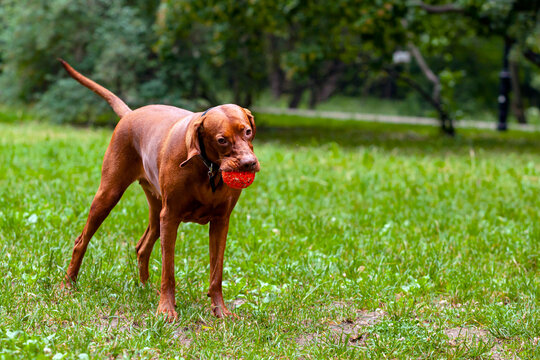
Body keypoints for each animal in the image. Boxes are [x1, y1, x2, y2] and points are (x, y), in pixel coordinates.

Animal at [59, 59, 260, 320]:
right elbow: (169, 271)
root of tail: (131, 113)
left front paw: (220, 310)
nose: (249, 164)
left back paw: (144, 288)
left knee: (142, 247)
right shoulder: (171, 217)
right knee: (81, 241)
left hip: (156, 211)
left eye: (247, 131)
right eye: (221, 140)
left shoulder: (221, 221)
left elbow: (217, 273)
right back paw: (68, 284)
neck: (208, 168)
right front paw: (166, 310)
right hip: (109, 195)